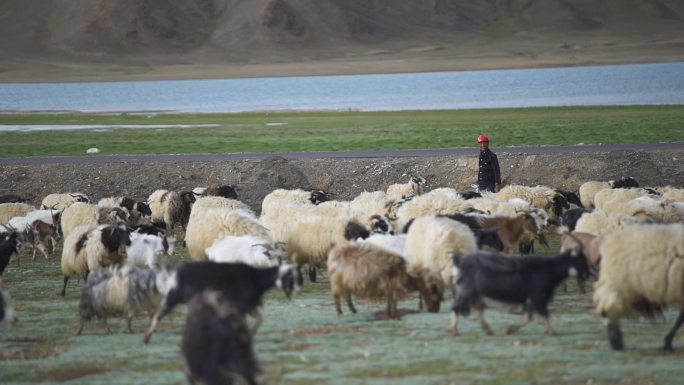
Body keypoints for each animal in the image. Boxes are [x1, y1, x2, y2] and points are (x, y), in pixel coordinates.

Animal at [144, 260, 300, 342]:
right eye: (290, 278)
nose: (298, 291)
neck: (255, 278)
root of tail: (174, 274)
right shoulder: (241, 305)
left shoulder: (245, 306)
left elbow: (258, 319)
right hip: (175, 297)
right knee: (159, 314)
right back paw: (146, 338)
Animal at [448, 249, 588, 336]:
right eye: (581, 260)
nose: (588, 273)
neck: (550, 268)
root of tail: (460, 262)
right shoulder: (538, 297)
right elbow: (543, 314)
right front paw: (552, 331)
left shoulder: (531, 300)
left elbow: (528, 318)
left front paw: (510, 329)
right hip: (467, 292)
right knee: (456, 308)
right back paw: (454, 331)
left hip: (476, 295)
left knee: (477, 312)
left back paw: (488, 330)